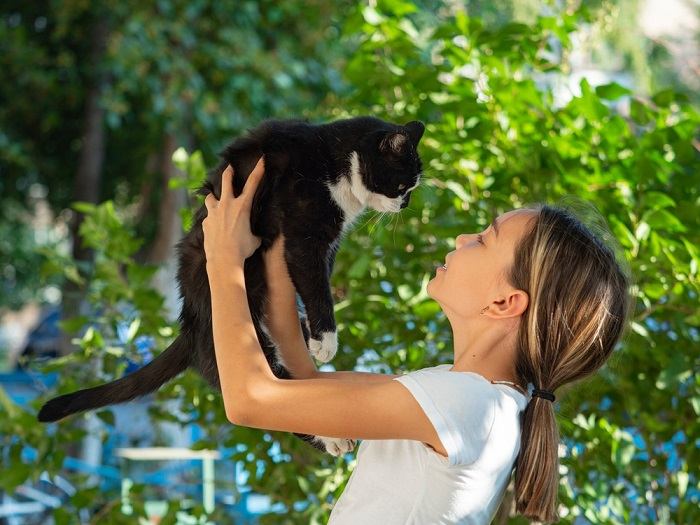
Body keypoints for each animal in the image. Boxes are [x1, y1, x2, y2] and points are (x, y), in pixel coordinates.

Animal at [38, 115, 426, 454]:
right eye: (402, 185)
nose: (404, 204)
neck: (335, 158)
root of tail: (191, 322)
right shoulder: (304, 231)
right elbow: (315, 284)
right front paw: (326, 340)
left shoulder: (326, 242)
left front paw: (314, 335)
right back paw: (329, 438)